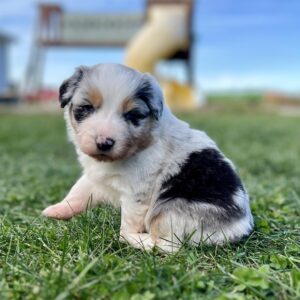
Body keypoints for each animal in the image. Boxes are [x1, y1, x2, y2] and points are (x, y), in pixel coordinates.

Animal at [42, 63, 253, 251]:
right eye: (86, 107)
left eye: (132, 115)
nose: (104, 143)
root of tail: (240, 227)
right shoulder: (96, 176)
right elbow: (78, 191)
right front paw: (56, 210)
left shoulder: (136, 193)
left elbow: (127, 223)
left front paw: (127, 235)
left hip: (169, 210)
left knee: (169, 246)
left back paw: (140, 241)